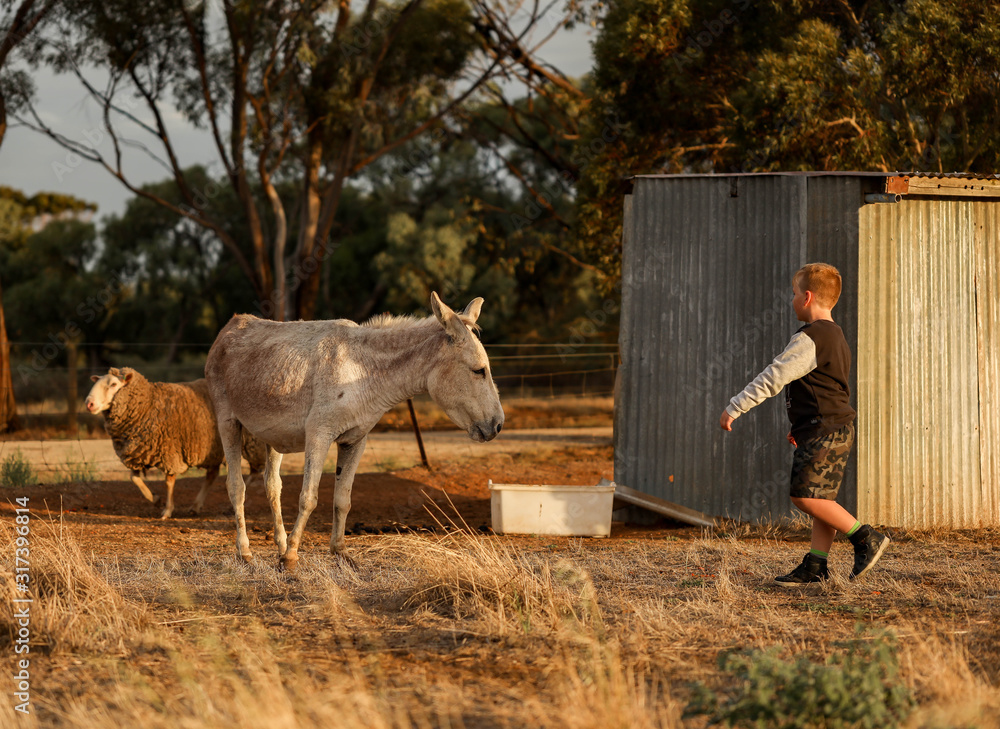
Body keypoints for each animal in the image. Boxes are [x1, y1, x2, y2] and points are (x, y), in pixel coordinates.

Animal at [85, 364, 264, 516]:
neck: (147, 404)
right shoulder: (137, 453)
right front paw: (156, 500)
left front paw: (167, 510)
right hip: (214, 450)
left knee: (255, 472)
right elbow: (134, 478)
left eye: (114, 384)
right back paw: (196, 506)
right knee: (213, 475)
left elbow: (169, 482)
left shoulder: (169, 451)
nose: (89, 404)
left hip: (253, 444)